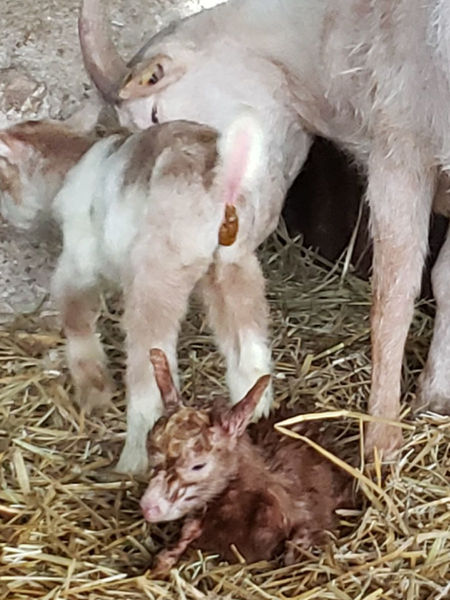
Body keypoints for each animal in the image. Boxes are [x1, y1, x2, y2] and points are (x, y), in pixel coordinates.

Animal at [79, 0, 450, 464]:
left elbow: (393, 299)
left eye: (155, 114)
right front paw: (434, 396)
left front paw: (381, 441)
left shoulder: (400, 149)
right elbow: (443, 281)